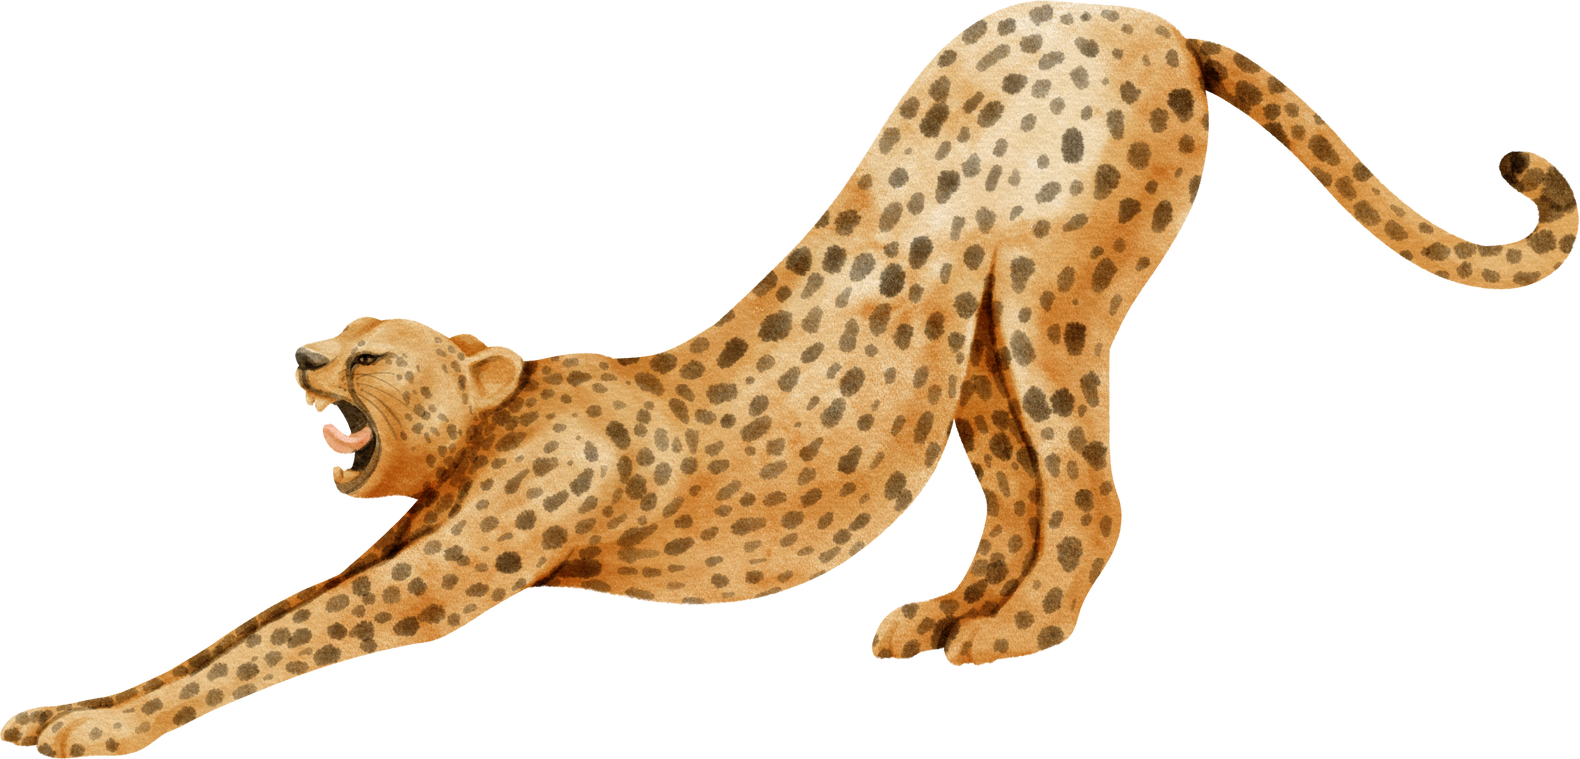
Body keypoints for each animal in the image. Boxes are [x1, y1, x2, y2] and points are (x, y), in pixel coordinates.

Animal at [6, 2, 1573, 756]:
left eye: (373, 346)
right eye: (330, 327)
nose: (294, 354)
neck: (500, 409)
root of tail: (1137, 10)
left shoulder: (437, 575)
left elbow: (279, 645)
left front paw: (98, 729)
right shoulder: (390, 542)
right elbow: (252, 617)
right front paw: (68, 705)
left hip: (1050, 294)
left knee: (1092, 489)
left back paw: (1015, 634)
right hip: (966, 343)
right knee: (1015, 487)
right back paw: (943, 615)